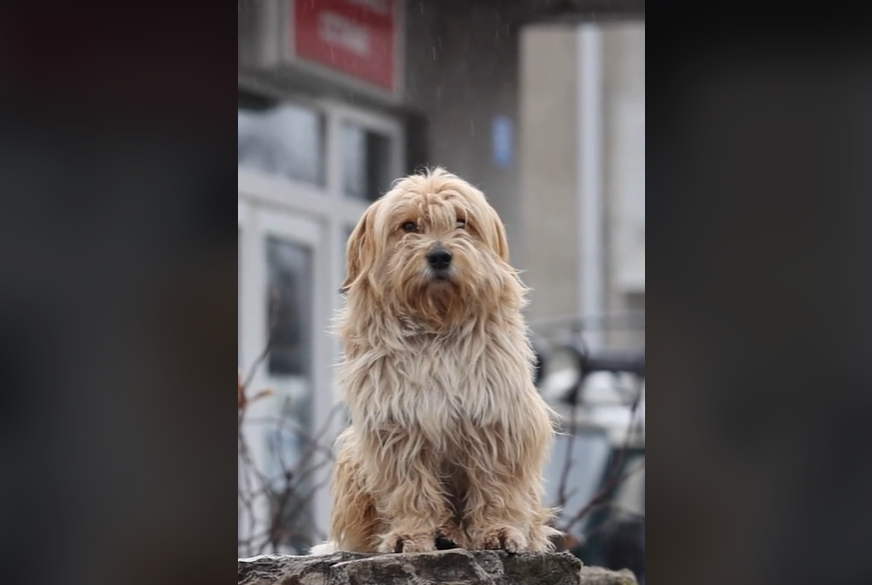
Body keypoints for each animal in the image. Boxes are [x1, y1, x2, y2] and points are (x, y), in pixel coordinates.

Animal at [314, 170, 560, 556]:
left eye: (461, 221)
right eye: (409, 226)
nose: (440, 256)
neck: (436, 328)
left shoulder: (497, 421)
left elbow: (496, 485)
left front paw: (499, 530)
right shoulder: (397, 428)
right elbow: (410, 489)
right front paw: (411, 534)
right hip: (353, 455)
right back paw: (444, 532)